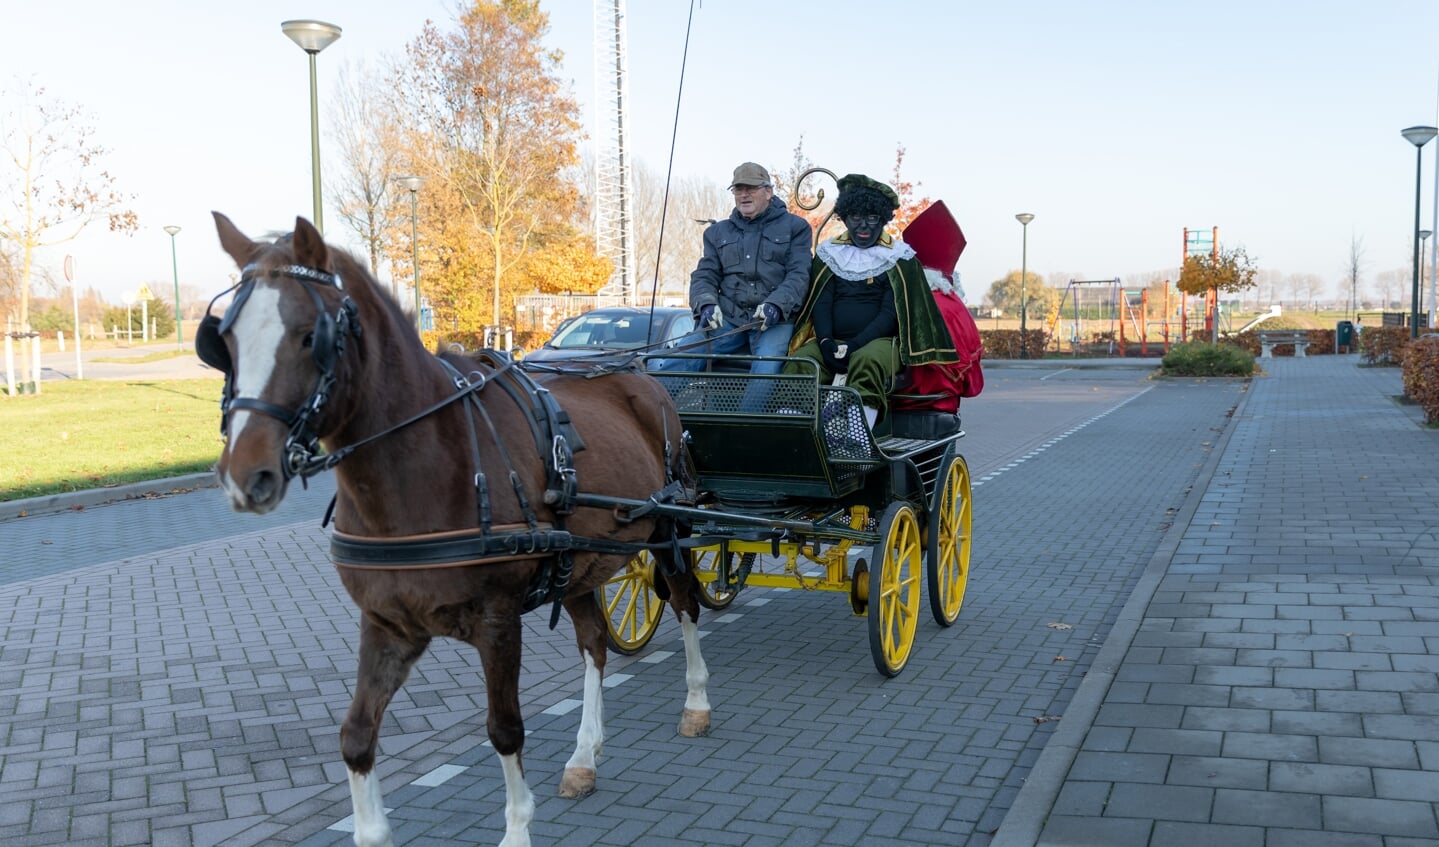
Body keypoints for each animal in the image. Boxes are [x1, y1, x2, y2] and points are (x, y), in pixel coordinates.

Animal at [202, 212, 713, 845]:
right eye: (223, 341)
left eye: (307, 336)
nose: (245, 475)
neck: (425, 467)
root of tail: (642, 376)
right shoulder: (387, 625)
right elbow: (355, 737)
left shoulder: (497, 621)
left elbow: (504, 729)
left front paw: (517, 829)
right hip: (579, 564)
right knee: (594, 644)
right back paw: (583, 757)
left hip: (668, 531)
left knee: (686, 605)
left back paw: (696, 704)